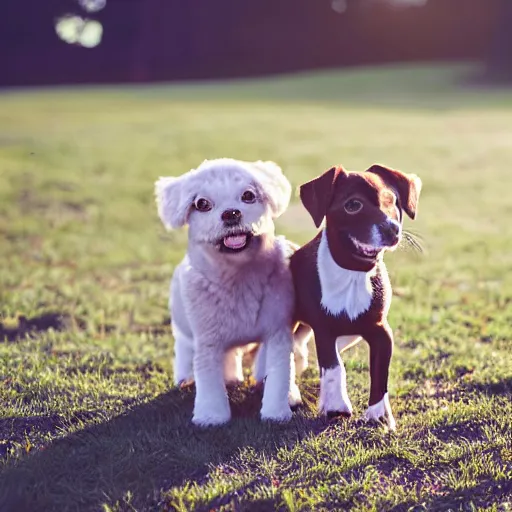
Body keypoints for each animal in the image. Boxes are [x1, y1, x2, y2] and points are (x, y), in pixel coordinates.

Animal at [155, 158, 308, 426]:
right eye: (201, 204)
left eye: (248, 195)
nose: (231, 213)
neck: (238, 279)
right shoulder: (207, 339)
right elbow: (208, 379)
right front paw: (211, 416)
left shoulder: (278, 330)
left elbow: (279, 374)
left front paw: (277, 411)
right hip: (183, 325)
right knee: (184, 346)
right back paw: (186, 376)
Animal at [290, 163, 422, 428]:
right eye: (353, 205)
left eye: (392, 200)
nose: (392, 229)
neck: (353, 272)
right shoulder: (324, 330)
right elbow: (333, 367)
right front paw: (337, 406)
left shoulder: (380, 331)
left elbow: (379, 374)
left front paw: (378, 415)